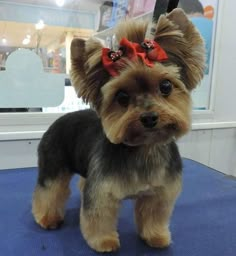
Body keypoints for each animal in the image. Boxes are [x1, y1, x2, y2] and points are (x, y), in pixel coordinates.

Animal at [32, 9, 206, 253]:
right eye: (122, 96)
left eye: (165, 86)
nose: (149, 118)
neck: (143, 148)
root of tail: (57, 121)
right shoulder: (102, 193)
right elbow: (98, 217)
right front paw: (104, 241)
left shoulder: (159, 193)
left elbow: (154, 216)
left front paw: (155, 236)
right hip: (53, 163)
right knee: (49, 190)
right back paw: (47, 217)